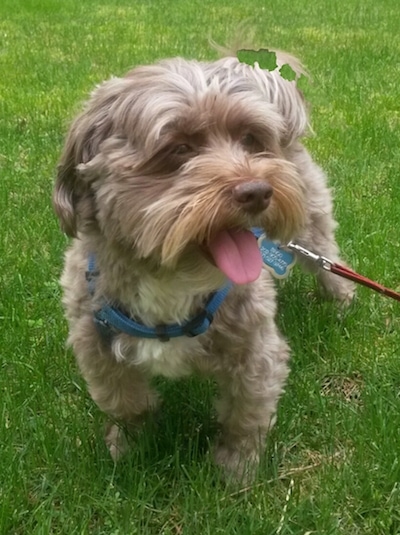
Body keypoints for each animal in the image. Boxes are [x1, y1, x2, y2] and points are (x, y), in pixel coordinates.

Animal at [52, 52, 354, 482]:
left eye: (250, 139)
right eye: (178, 148)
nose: (257, 191)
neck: (172, 274)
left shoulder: (256, 350)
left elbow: (246, 413)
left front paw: (236, 467)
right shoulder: (94, 341)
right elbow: (125, 400)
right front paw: (130, 445)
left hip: (310, 222)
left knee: (329, 261)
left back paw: (340, 301)